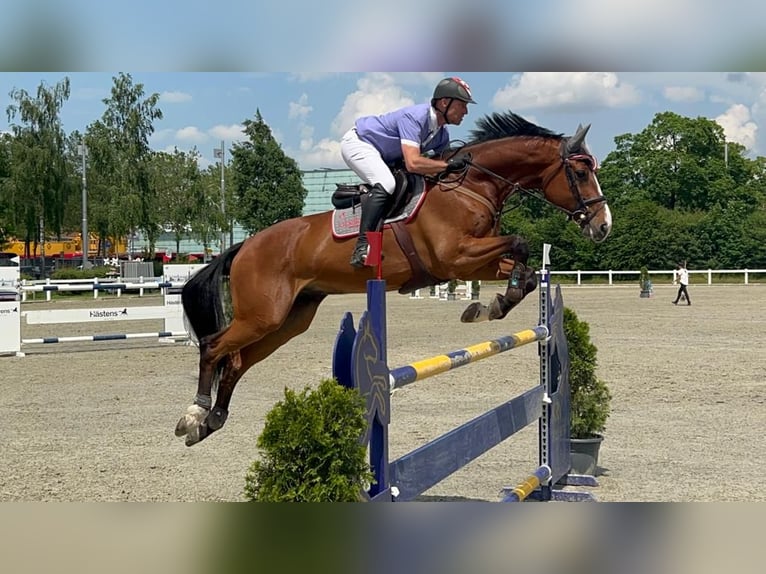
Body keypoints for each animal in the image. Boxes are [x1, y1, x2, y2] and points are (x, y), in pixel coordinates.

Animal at [174, 111, 612, 446]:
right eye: (580, 171)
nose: (603, 226)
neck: (471, 186)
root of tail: (244, 246)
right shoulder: (455, 257)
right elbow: (521, 242)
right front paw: (494, 303)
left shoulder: (470, 264)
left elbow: (523, 267)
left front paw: (491, 305)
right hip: (262, 315)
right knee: (214, 348)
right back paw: (194, 414)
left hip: (288, 320)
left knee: (236, 362)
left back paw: (212, 422)